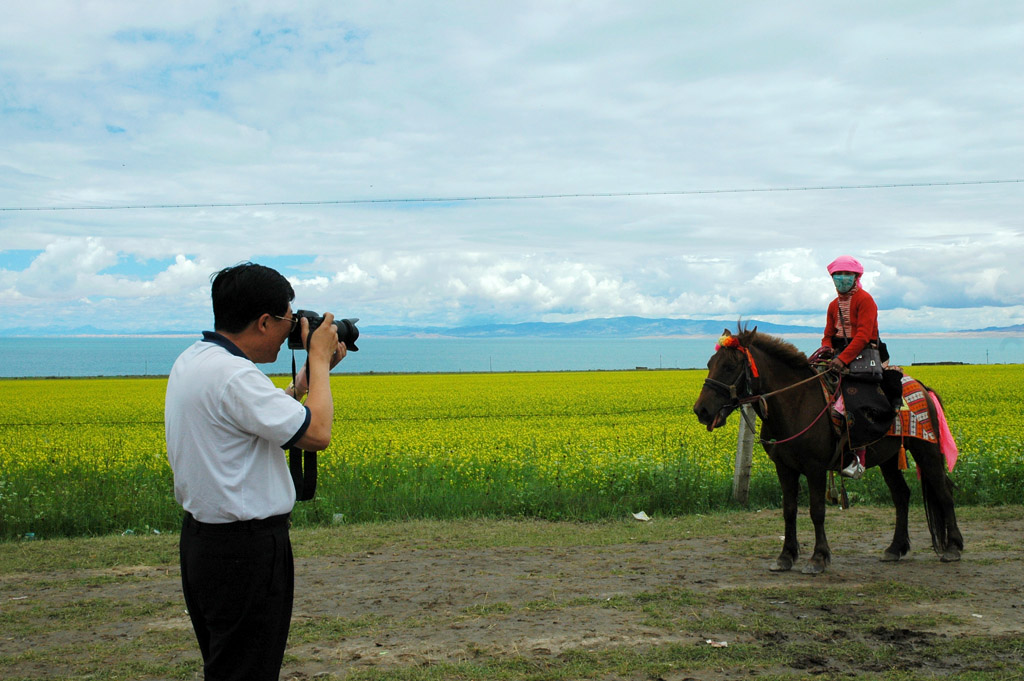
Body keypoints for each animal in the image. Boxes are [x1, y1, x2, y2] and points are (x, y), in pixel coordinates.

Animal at [692, 327, 962, 569]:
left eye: (730, 366)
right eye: (709, 363)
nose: (701, 410)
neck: (796, 403)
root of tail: (923, 389)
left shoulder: (815, 468)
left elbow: (817, 511)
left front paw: (819, 557)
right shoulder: (784, 468)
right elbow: (789, 510)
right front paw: (786, 556)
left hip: (926, 451)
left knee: (943, 492)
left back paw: (953, 547)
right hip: (888, 458)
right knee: (902, 495)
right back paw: (895, 548)